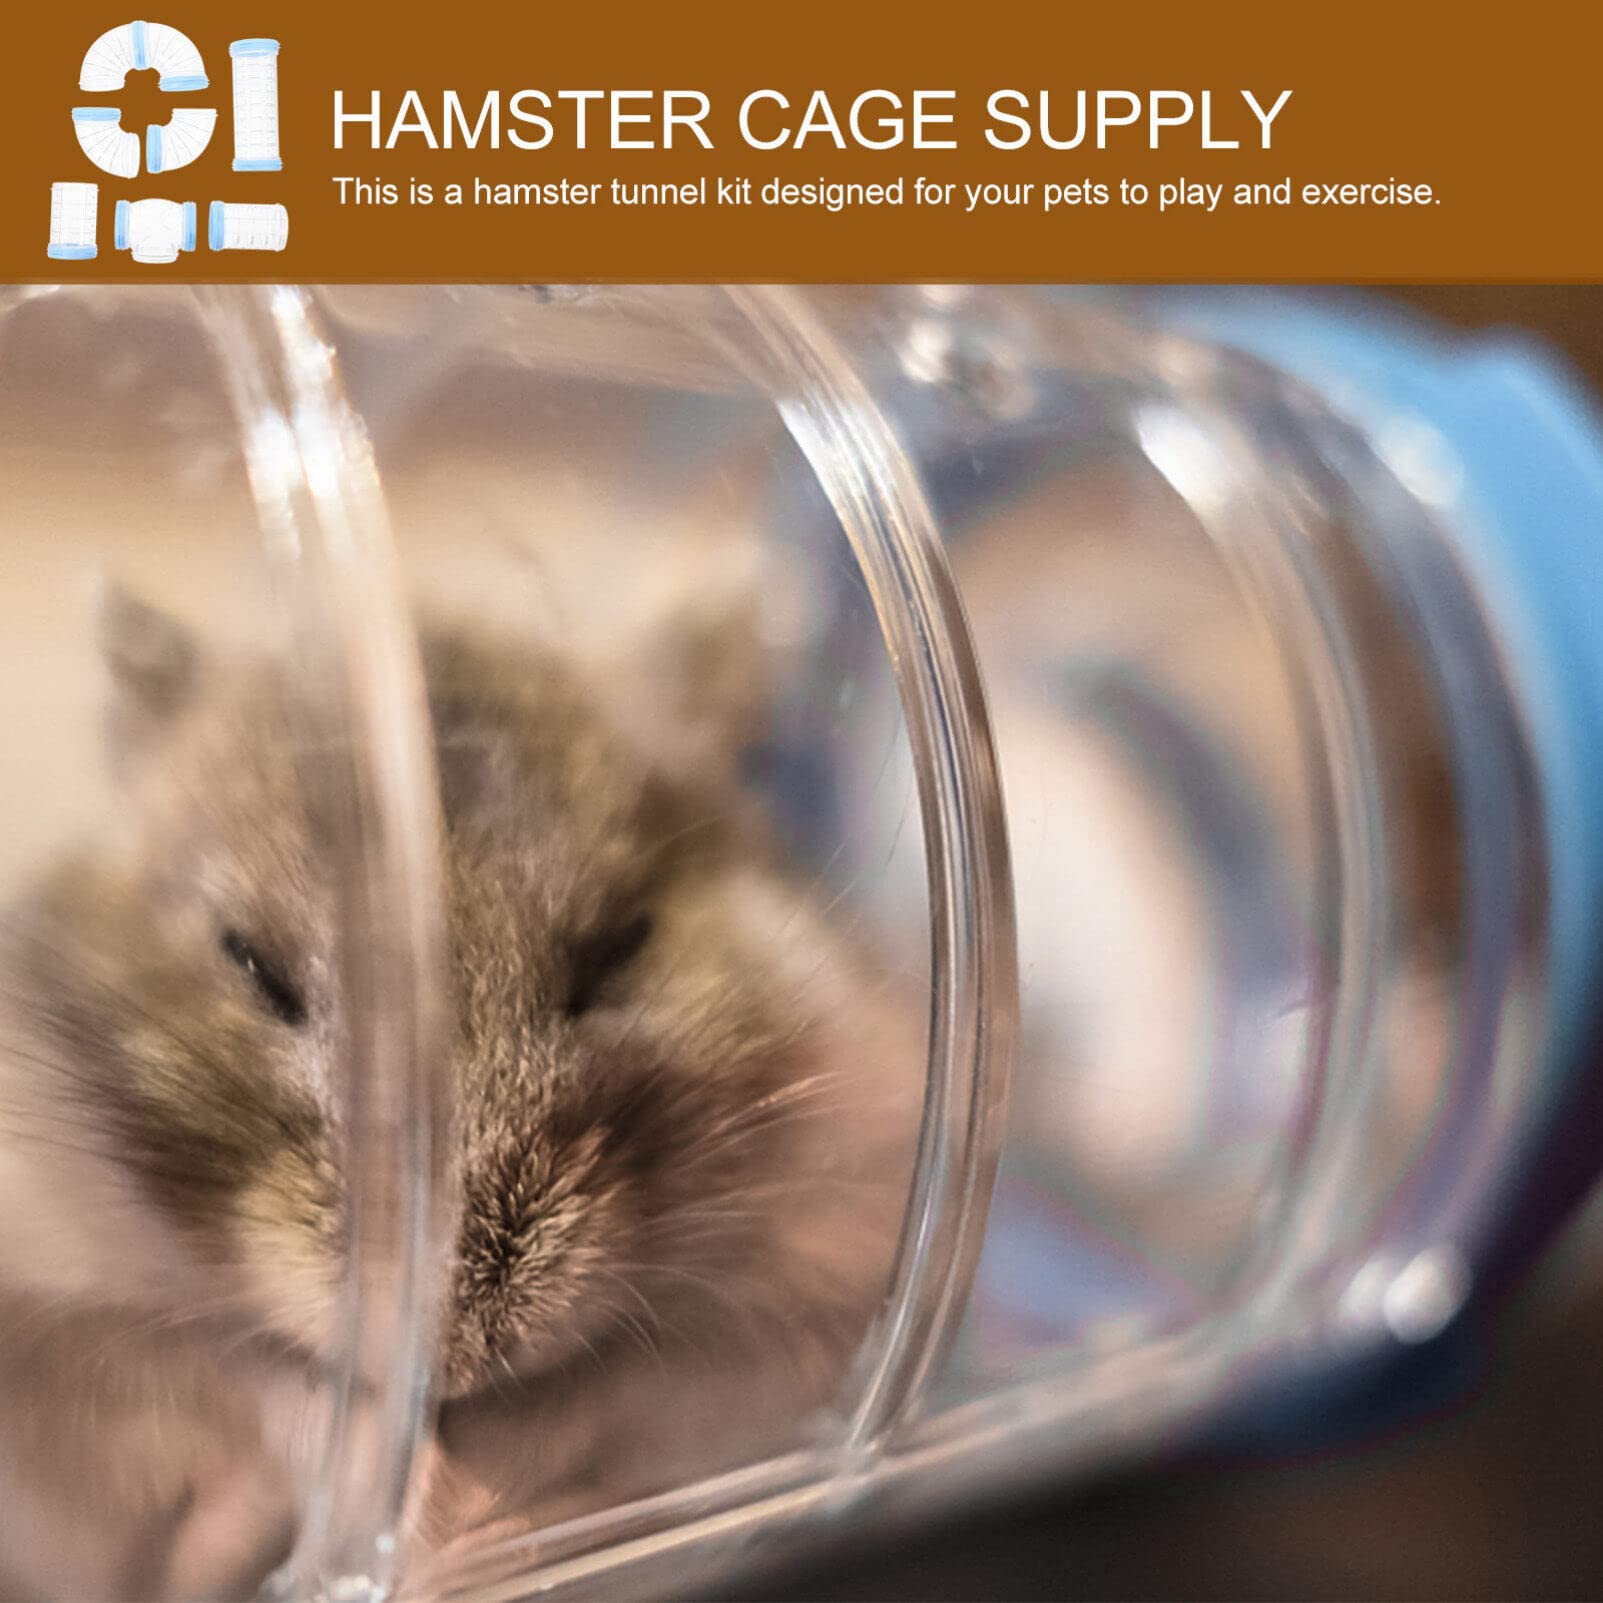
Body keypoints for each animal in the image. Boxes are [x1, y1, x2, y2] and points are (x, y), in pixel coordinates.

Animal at [0, 588, 919, 1600]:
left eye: (622, 946)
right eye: (252, 964)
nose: (460, 1354)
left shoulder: (816, 1317)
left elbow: (604, 1398)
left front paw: (457, 1529)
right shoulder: (54, 1339)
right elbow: (244, 1386)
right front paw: (360, 1520)